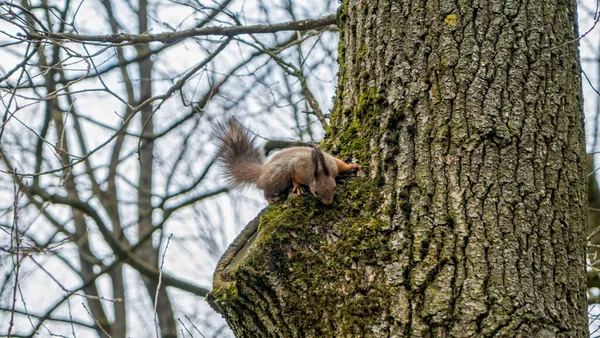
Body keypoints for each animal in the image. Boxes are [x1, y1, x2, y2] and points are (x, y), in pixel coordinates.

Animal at [214, 120, 358, 205]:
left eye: (334, 188)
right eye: (316, 192)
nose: (328, 202)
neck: (320, 170)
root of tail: (262, 172)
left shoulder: (331, 163)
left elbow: (340, 164)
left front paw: (351, 166)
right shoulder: (298, 167)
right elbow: (295, 176)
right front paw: (297, 187)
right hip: (278, 176)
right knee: (266, 190)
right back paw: (271, 198)